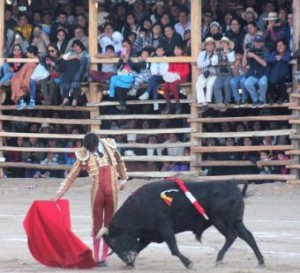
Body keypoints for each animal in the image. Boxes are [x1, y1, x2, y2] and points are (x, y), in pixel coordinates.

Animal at [99, 180, 264, 266]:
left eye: (114, 240)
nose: (127, 259)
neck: (139, 207)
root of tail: (232, 184)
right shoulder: (150, 234)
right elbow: (139, 247)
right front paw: (129, 265)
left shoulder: (165, 229)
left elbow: (173, 249)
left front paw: (188, 263)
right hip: (237, 221)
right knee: (247, 236)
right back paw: (261, 261)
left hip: (220, 221)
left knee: (231, 236)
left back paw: (218, 259)